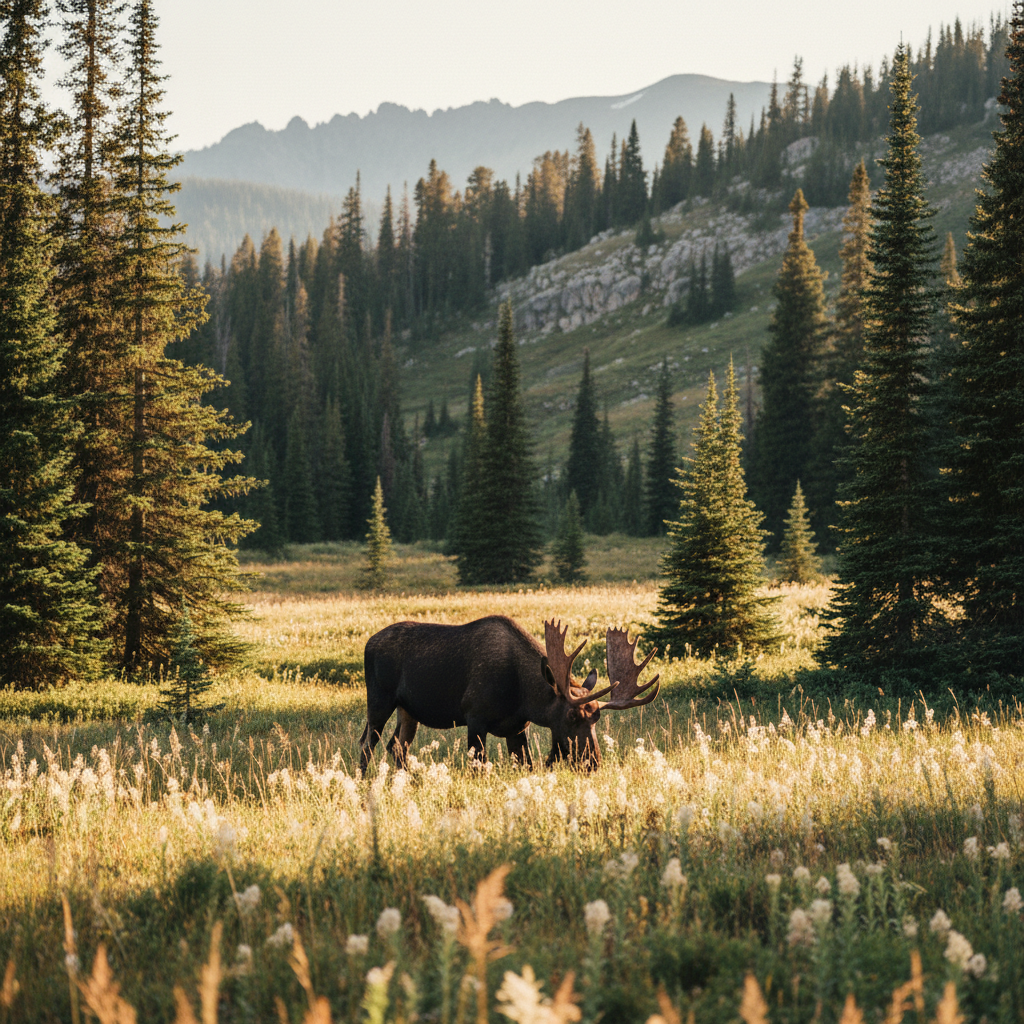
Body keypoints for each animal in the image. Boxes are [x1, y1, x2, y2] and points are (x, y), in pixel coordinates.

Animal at [358, 615, 660, 772]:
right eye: (571, 716)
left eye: (597, 718)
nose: (593, 762)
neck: (523, 697)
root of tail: (368, 643)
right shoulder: (475, 717)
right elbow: (478, 766)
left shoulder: (517, 728)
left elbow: (526, 765)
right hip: (379, 700)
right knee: (367, 743)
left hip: (408, 711)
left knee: (397, 746)